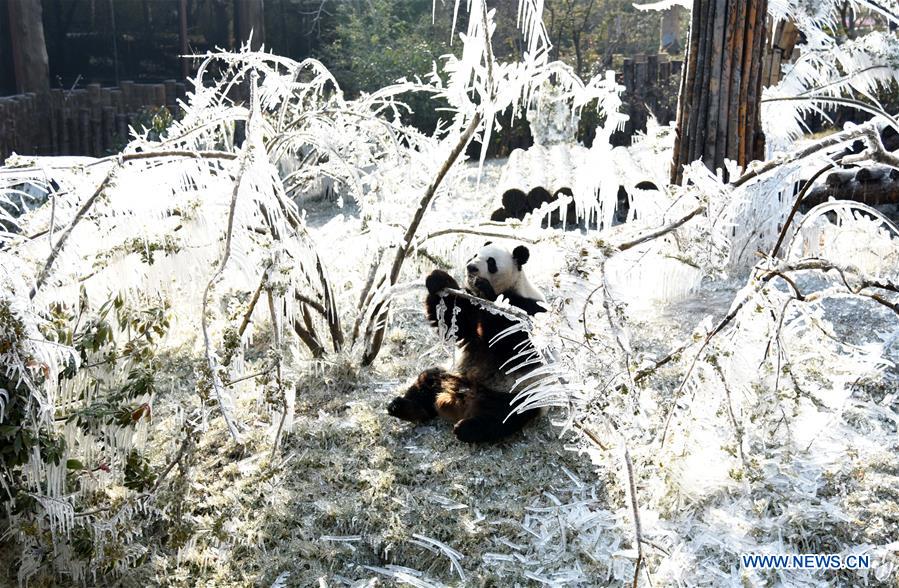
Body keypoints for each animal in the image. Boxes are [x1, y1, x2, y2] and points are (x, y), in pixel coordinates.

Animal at [387, 242, 546, 443]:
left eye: (491, 262)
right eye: (474, 255)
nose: (471, 267)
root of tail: (460, 402)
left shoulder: (529, 309)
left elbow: (514, 346)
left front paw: (486, 290)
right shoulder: (470, 306)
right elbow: (454, 324)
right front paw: (438, 279)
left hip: (517, 392)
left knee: (503, 416)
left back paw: (467, 429)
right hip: (452, 374)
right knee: (427, 380)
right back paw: (403, 407)